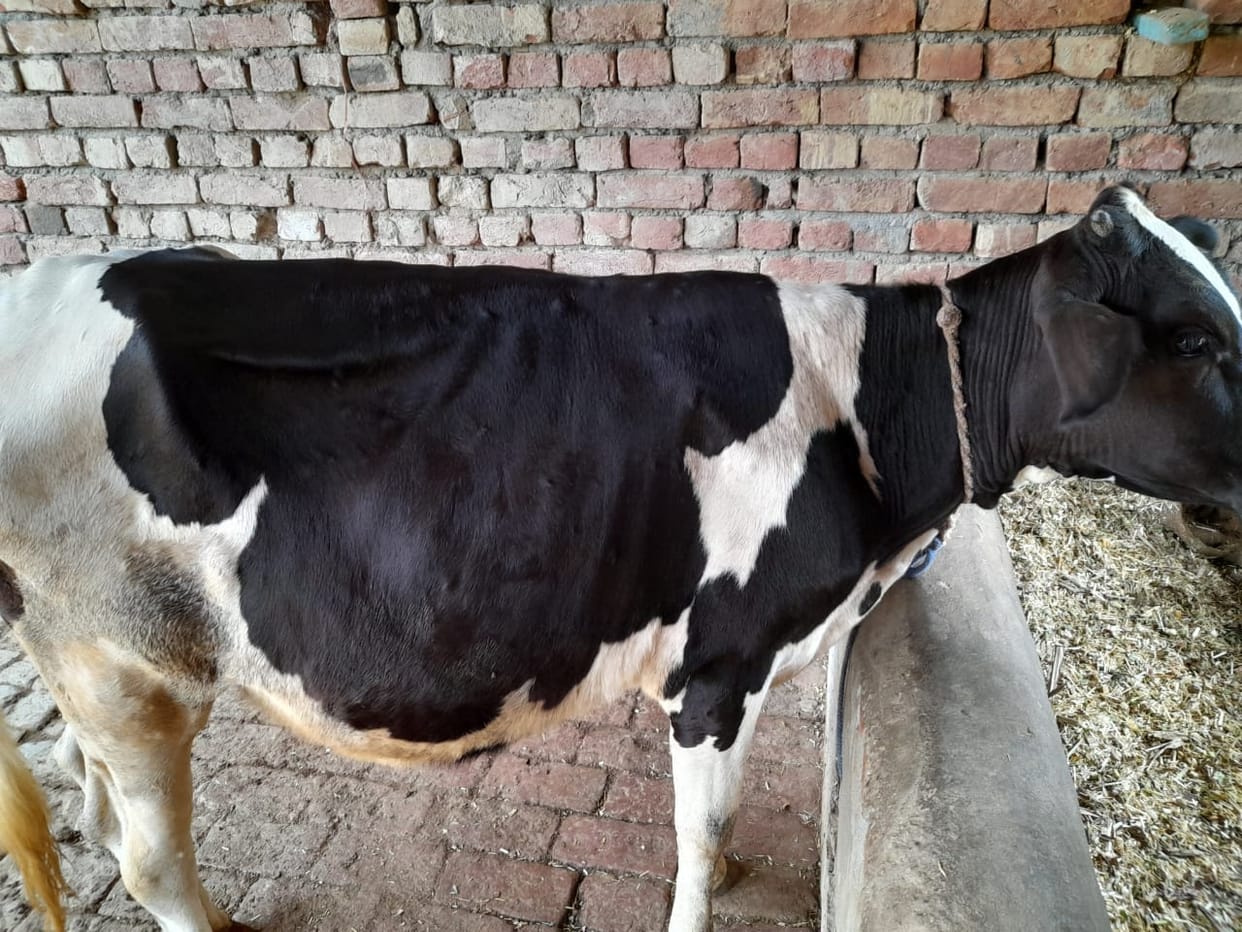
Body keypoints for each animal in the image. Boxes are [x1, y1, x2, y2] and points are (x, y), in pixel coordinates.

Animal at [0, 185, 1239, 932]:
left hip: (90, 659)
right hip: (122, 658)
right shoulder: (721, 664)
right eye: (1192, 338)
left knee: (86, 789)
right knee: (151, 857)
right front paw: (709, 888)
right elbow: (702, 826)